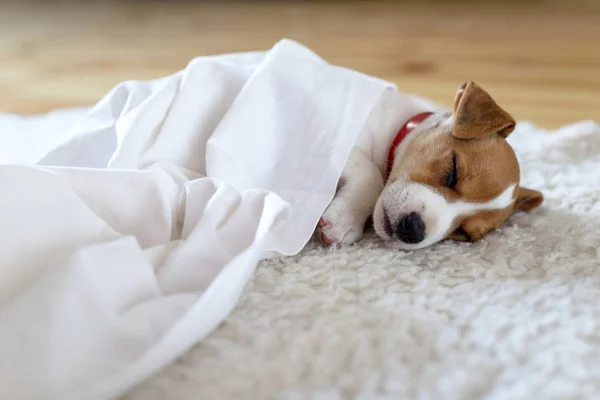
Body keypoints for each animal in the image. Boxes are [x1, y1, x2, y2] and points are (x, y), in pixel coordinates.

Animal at [318, 80, 544, 250]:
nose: (413, 229)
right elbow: (371, 174)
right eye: (453, 170)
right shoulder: (333, 141)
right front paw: (344, 219)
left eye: (463, 234)